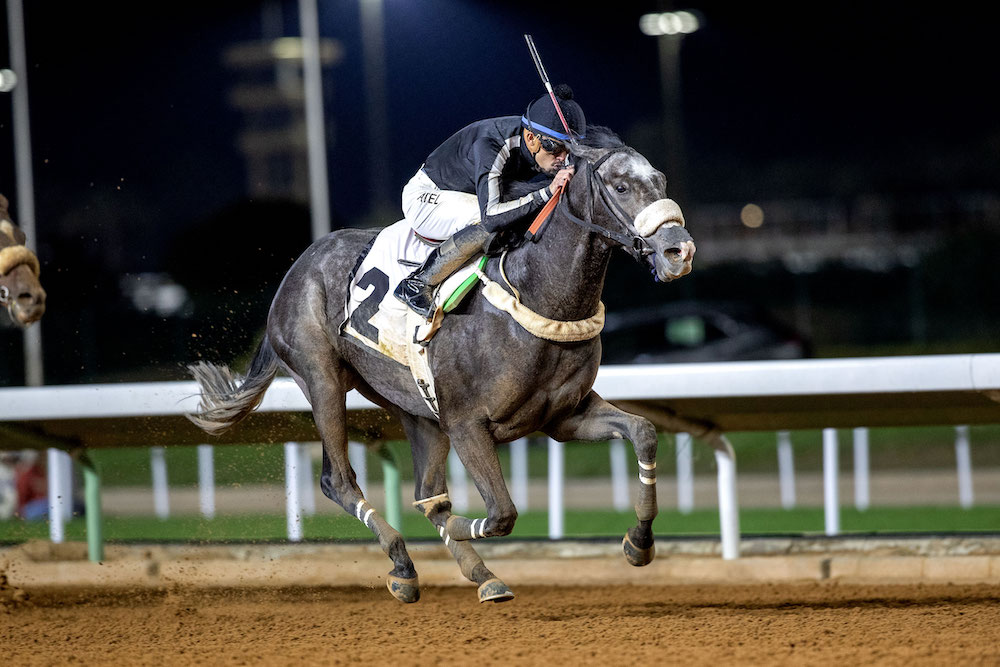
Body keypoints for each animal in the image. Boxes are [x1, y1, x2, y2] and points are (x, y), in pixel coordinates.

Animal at [188, 127, 696, 604]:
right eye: (621, 186)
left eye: (661, 180)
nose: (680, 252)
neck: (537, 294)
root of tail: (297, 267)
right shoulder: (467, 423)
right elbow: (501, 514)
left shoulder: (562, 416)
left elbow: (643, 432)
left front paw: (639, 543)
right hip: (321, 378)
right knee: (340, 480)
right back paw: (403, 563)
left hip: (417, 408)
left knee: (427, 493)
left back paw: (480, 575)